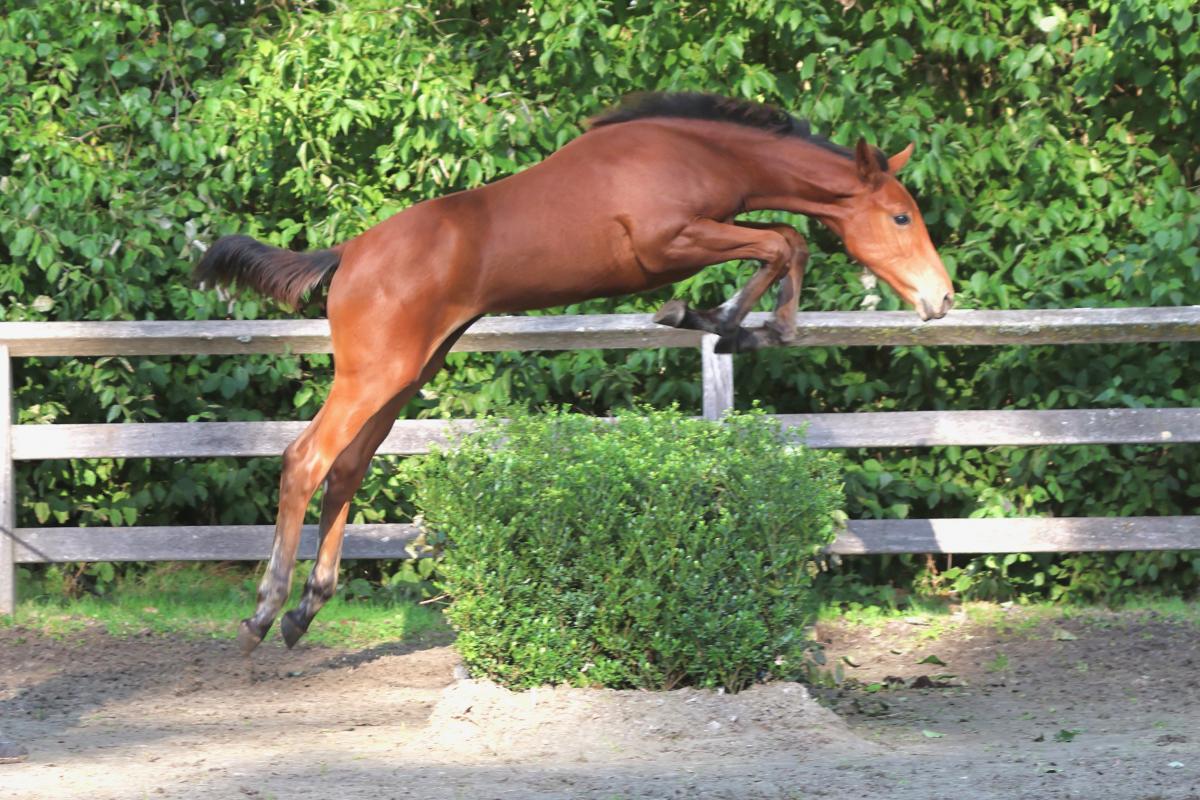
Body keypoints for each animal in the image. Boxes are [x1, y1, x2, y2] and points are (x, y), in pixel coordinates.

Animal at [195, 92, 955, 655]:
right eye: (899, 216)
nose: (940, 298)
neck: (695, 152)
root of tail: (349, 253)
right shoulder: (668, 242)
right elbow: (784, 242)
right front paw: (725, 320)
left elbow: (782, 243)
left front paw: (729, 324)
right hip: (372, 375)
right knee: (305, 460)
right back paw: (264, 613)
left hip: (406, 374)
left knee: (347, 468)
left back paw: (306, 612)